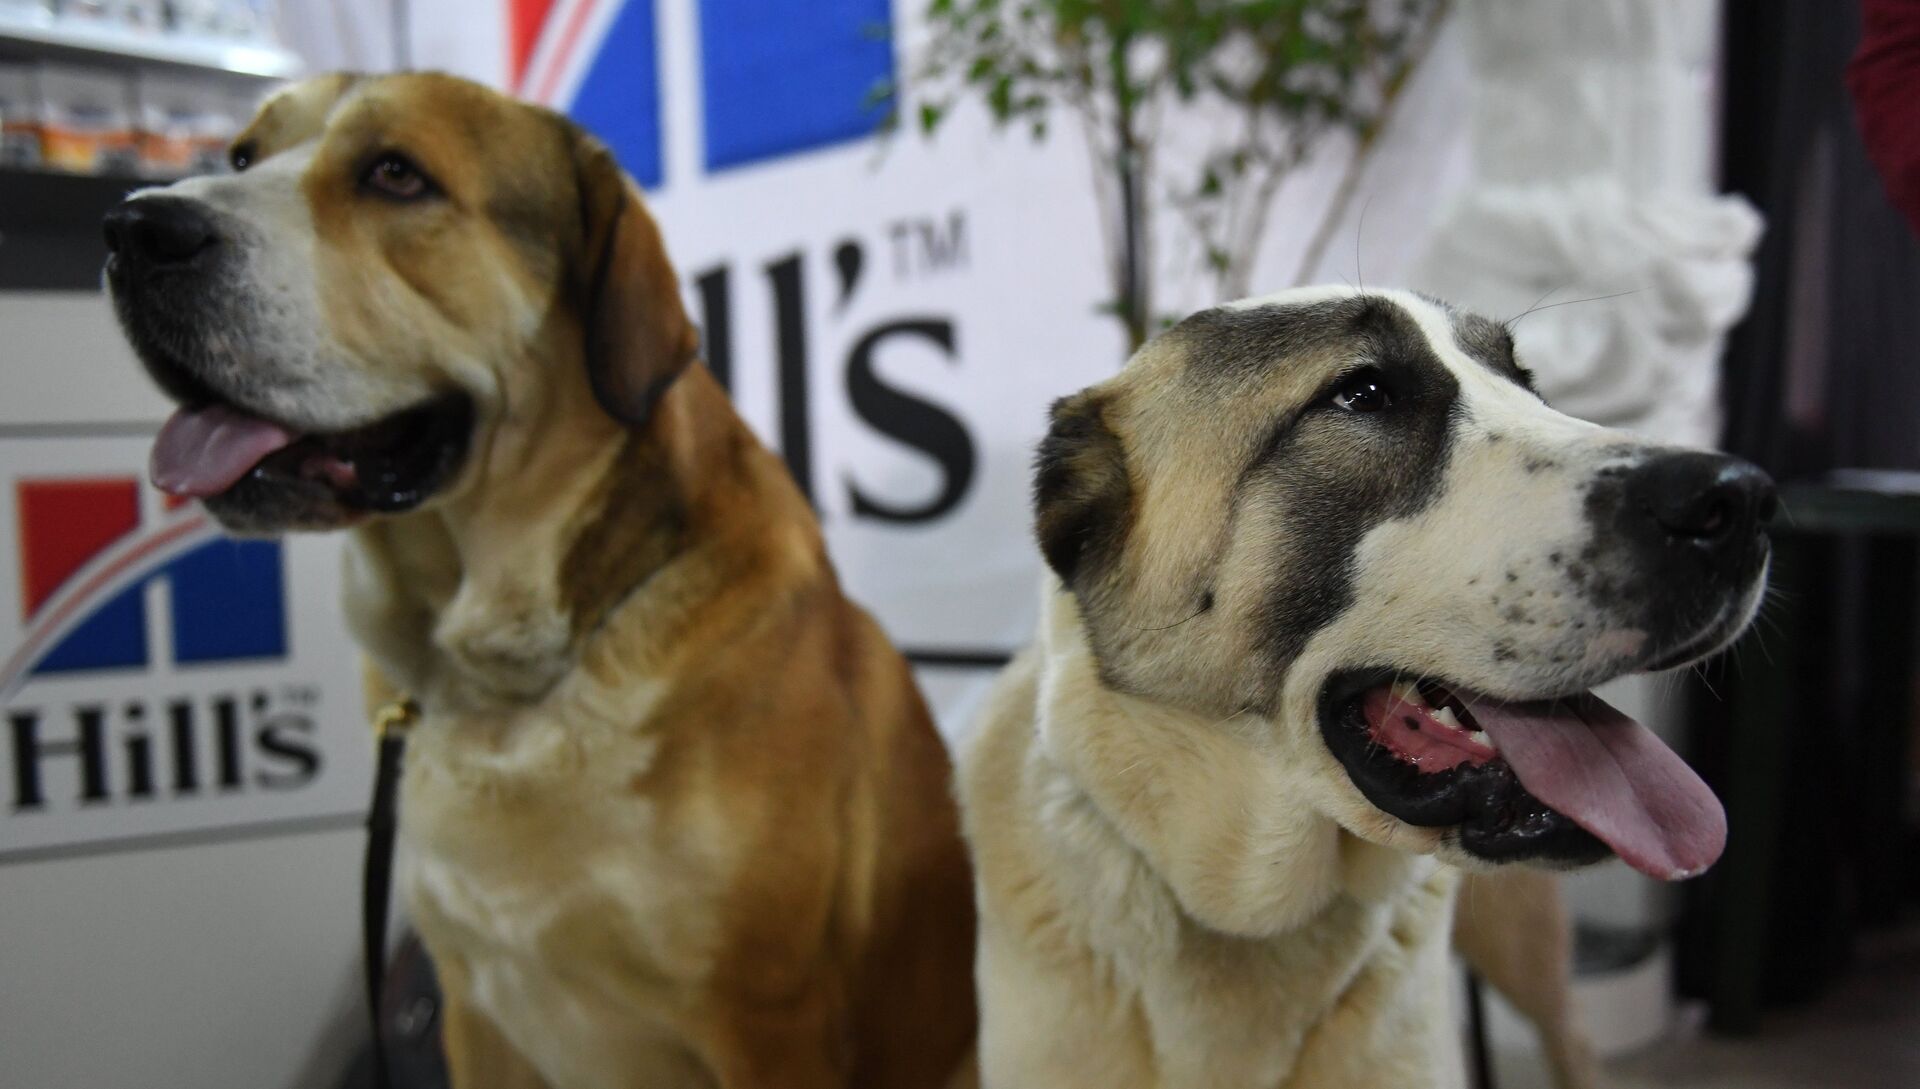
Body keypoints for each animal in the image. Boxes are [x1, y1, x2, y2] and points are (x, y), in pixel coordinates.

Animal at [105, 74, 975, 1089]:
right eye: (241, 155)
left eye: (395, 174)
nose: (134, 227)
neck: (503, 684)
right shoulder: (473, 1005)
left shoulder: (770, 1022)